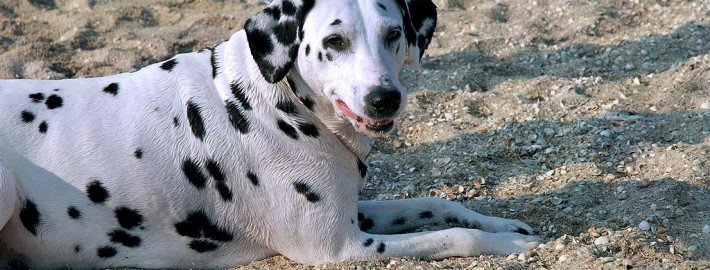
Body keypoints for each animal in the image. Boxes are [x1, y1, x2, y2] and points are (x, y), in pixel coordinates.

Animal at [0, 0, 540, 268]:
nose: (383, 98)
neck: (271, 98)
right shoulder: (341, 248)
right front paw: (507, 245)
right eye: (334, 41)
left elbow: (435, 206)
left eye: (393, 34)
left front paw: (504, 223)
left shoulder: (353, 212)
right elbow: (454, 237)